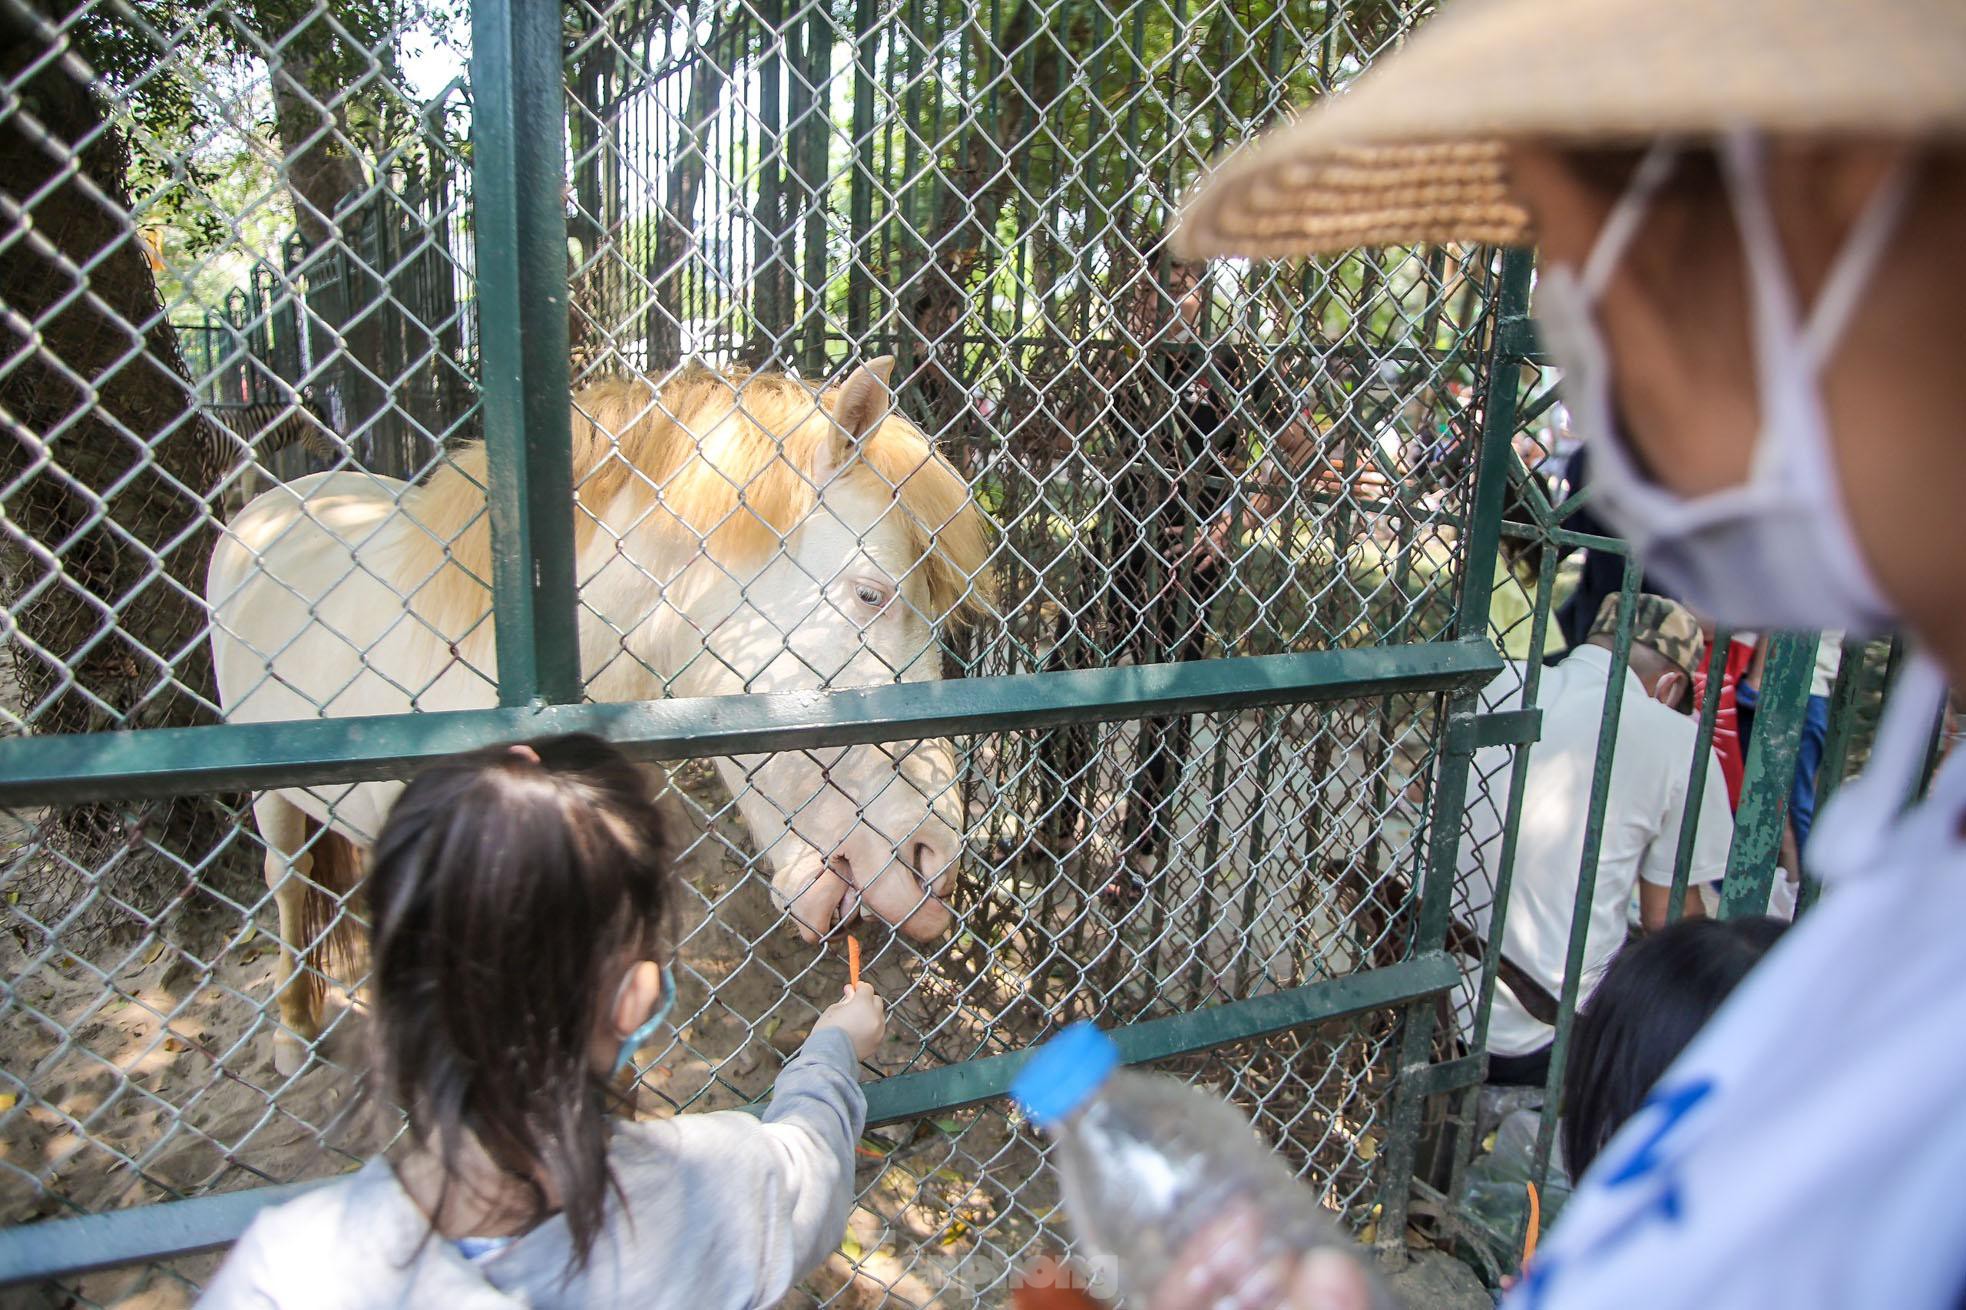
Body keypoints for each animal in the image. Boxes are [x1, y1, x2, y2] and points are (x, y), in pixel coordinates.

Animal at [211, 357, 998, 1062]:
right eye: (871, 593)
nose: (936, 866)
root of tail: (282, 497)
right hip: (274, 803)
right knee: (287, 882)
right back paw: (292, 1032)